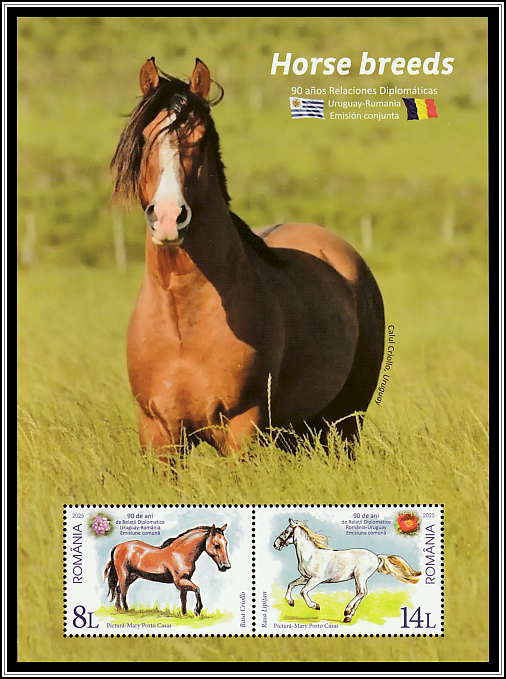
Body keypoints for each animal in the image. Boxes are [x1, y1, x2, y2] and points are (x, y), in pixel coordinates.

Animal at [111, 57, 385, 462]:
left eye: (200, 140)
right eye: (145, 138)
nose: (168, 217)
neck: (182, 325)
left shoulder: (242, 430)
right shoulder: (158, 435)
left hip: (345, 422)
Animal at [273, 519, 421, 623]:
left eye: (286, 531)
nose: (275, 544)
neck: (311, 555)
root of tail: (376, 556)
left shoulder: (316, 579)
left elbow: (303, 591)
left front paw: (315, 606)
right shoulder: (305, 577)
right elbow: (291, 584)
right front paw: (290, 602)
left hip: (360, 576)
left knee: (362, 592)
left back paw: (347, 610)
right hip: (357, 578)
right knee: (361, 593)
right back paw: (348, 616)